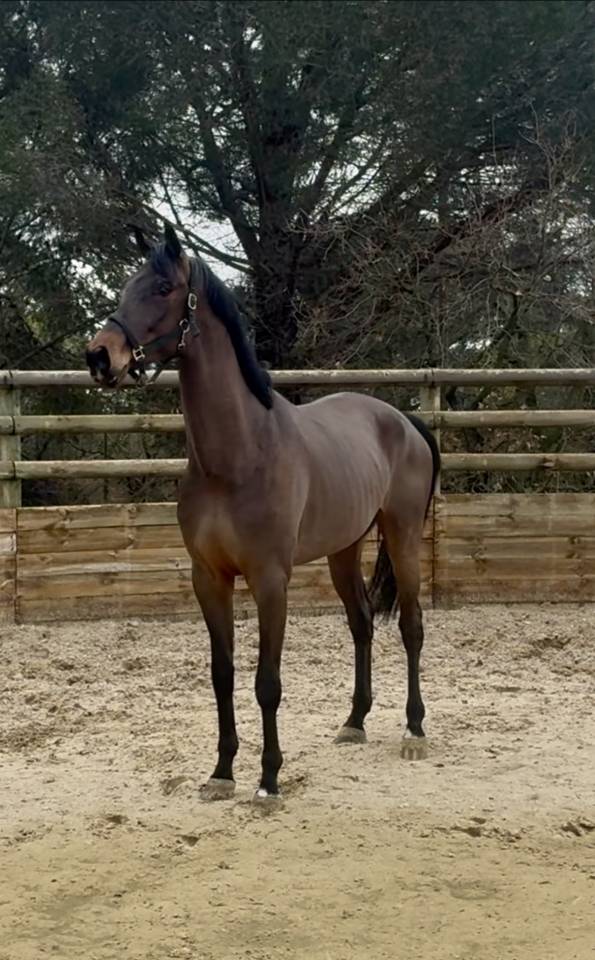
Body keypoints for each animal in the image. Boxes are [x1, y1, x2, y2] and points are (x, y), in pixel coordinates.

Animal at [86, 225, 440, 804]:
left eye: (162, 287)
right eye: (124, 287)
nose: (99, 357)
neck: (238, 454)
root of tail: (404, 420)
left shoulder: (271, 580)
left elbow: (266, 682)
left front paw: (268, 779)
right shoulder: (209, 578)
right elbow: (223, 675)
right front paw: (222, 772)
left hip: (403, 535)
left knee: (411, 626)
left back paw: (414, 731)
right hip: (344, 550)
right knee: (362, 624)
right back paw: (355, 722)